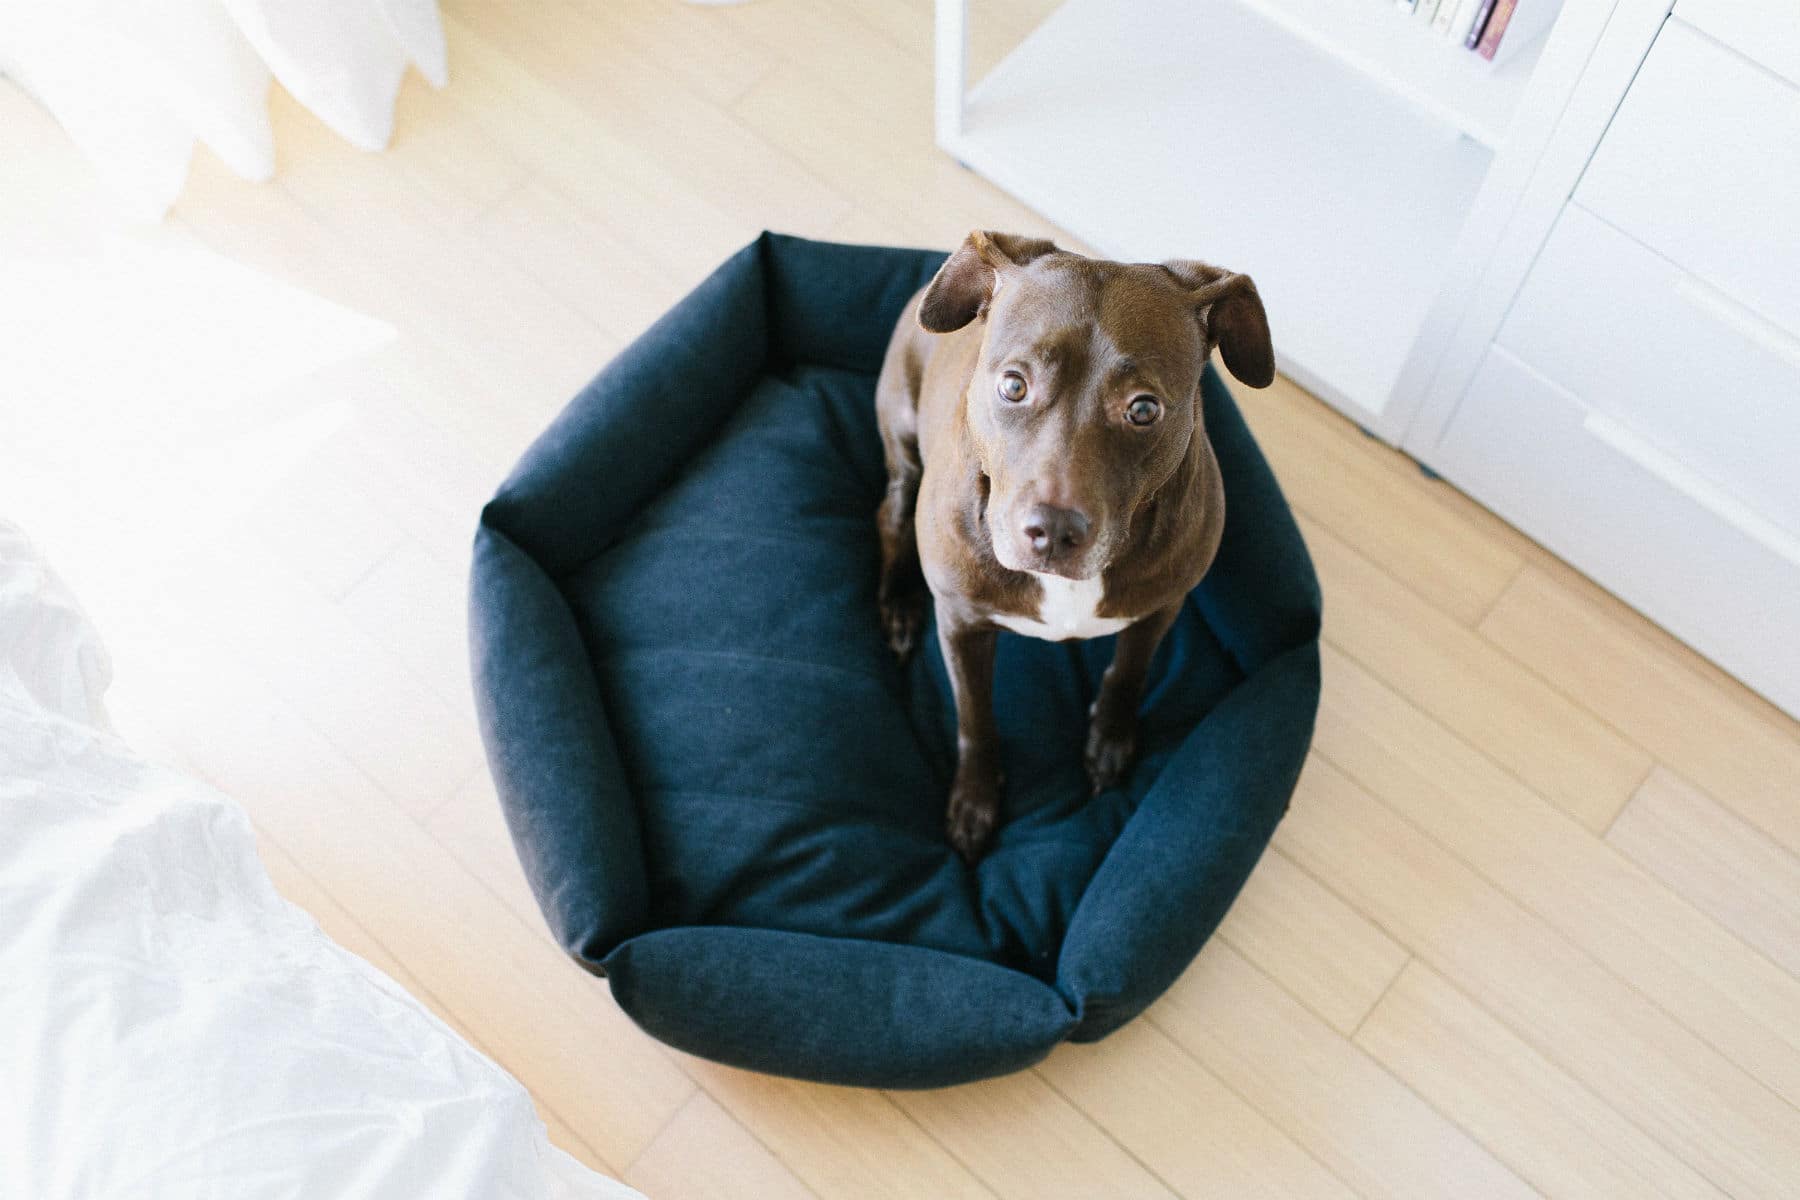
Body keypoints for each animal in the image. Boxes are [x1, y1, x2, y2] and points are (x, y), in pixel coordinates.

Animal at [874, 227, 1274, 863]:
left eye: (1144, 408)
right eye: (1014, 384)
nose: (1054, 530)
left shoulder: (1161, 606)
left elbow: (1128, 673)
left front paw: (1109, 740)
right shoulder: (961, 624)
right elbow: (974, 718)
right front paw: (975, 800)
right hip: (902, 439)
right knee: (888, 514)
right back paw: (896, 605)